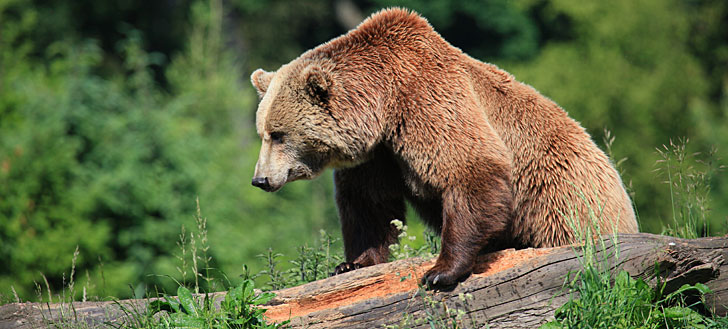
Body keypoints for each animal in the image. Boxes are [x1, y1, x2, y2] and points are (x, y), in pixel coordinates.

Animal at [250, 7, 636, 288]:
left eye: (278, 133)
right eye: (263, 132)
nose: (260, 180)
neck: (382, 106)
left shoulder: (427, 99)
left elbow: (470, 169)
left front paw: (440, 271)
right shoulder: (377, 154)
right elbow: (370, 203)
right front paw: (350, 264)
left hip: (563, 203)